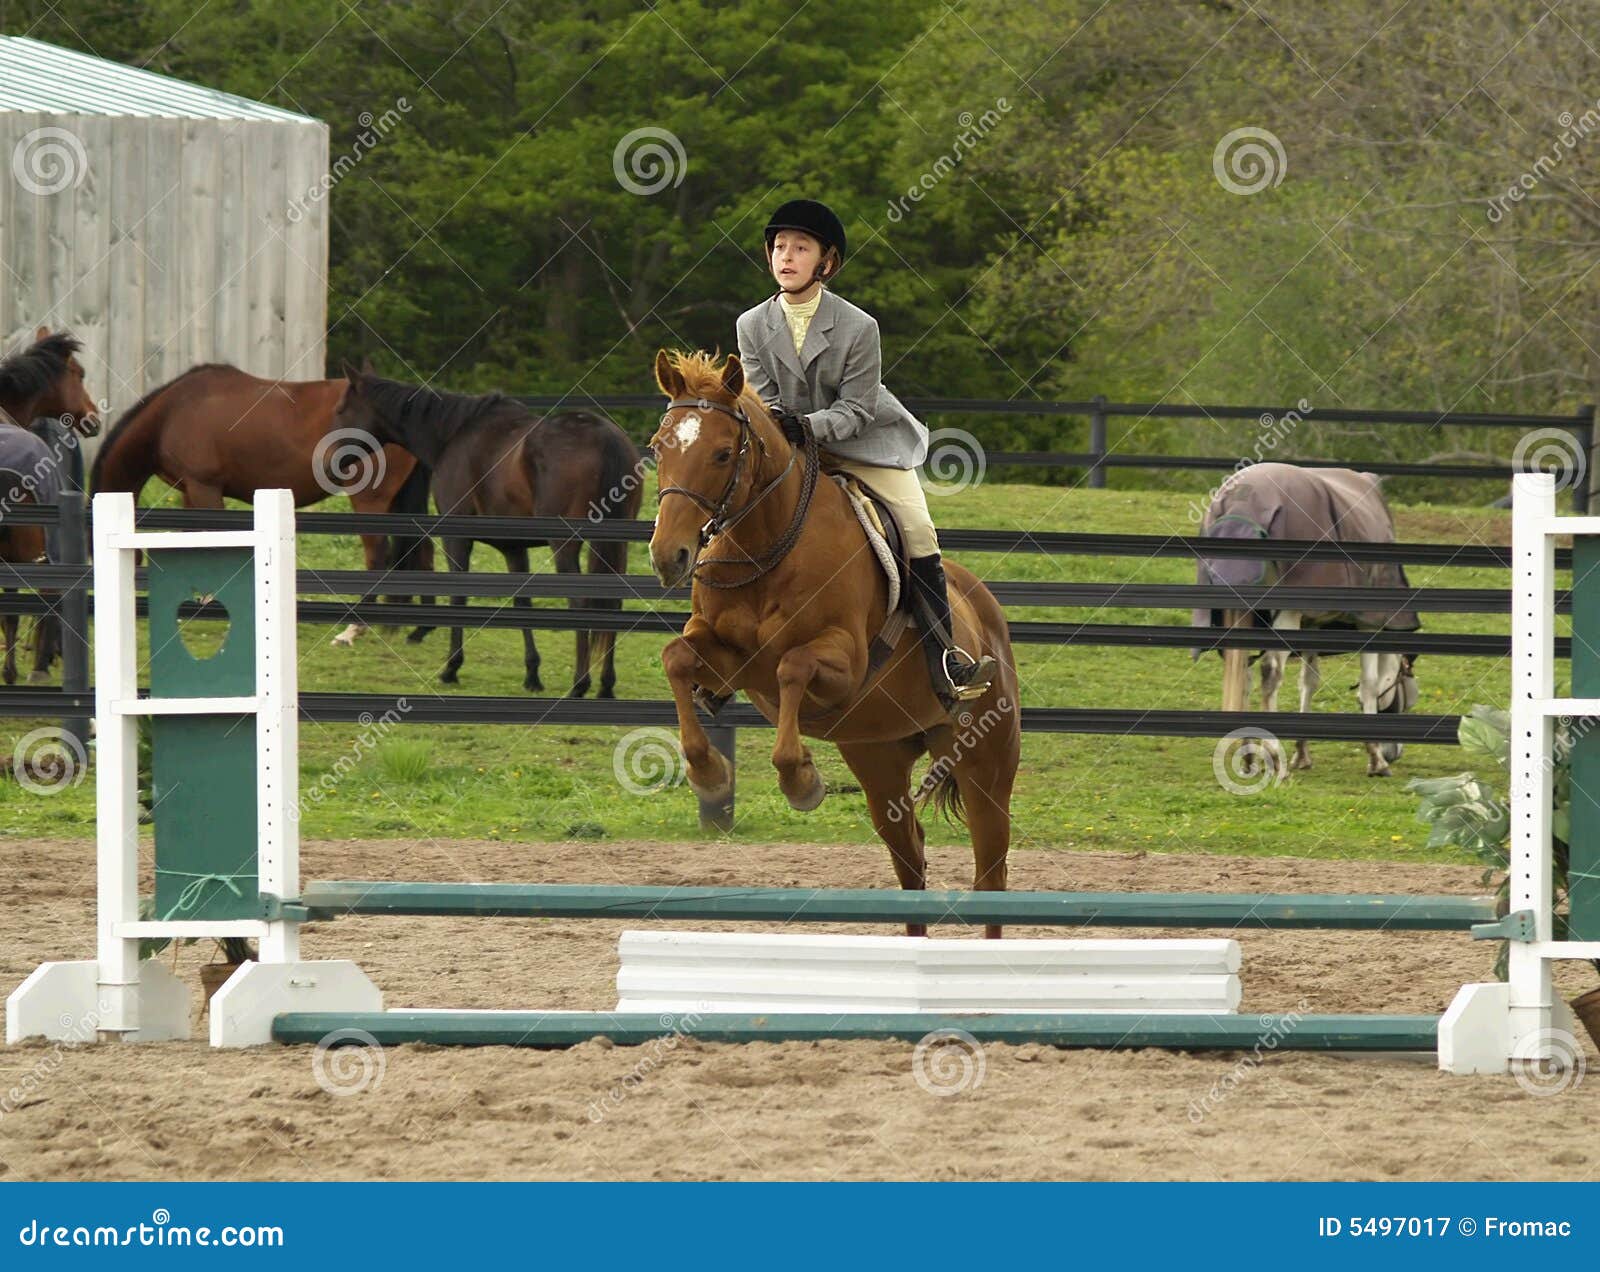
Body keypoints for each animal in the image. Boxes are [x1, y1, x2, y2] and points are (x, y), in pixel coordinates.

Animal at [90, 358, 432, 643]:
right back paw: (417, 627)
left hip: (369, 500)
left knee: (376, 554)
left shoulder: (204, 487)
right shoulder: (190, 490)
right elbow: (192, 541)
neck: (173, 413)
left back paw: (354, 628)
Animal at [332, 363, 643, 700]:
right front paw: (532, 674)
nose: (330, 462)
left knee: (582, 603)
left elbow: (459, 598)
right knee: (613, 603)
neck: (453, 434)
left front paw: (451, 668)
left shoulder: (456, 538)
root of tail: (605, 436)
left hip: (565, 546)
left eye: (340, 410)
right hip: (616, 545)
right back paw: (606, 686)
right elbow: (523, 605)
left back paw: (579, 684)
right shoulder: (514, 548)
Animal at [646, 348, 1011, 934]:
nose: (668, 557)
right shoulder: (726, 659)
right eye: (659, 448)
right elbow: (676, 657)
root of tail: (986, 608)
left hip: (986, 764)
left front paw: (801, 782)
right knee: (910, 855)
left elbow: (792, 667)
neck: (765, 544)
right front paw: (709, 773)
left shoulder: (846, 662)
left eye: (723, 454)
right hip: (879, 760)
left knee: (991, 872)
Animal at [1196, 457, 1420, 777]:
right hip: (1284, 614)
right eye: (1407, 696)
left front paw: (1302, 753)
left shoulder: (1313, 623)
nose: (1394, 753)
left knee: (1244, 673)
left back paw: (1248, 754)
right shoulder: (1369, 623)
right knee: (1270, 672)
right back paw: (1272, 754)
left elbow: (1309, 681)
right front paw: (1376, 758)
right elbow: (1369, 683)